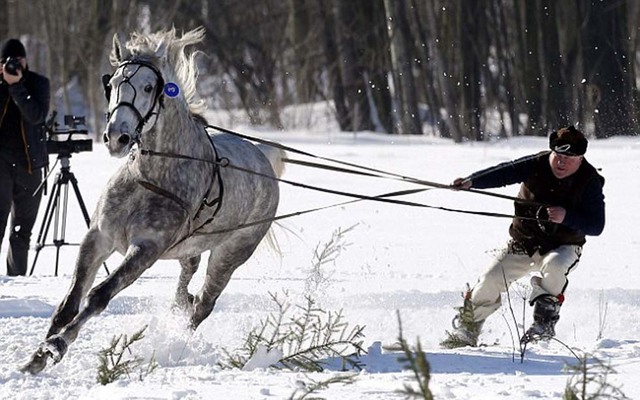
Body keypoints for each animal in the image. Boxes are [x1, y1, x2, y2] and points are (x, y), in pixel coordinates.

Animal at [23, 28, 282, 376]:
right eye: (112, 84)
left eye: (148, 87)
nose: (116, 138)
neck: (151, 176)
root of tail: (262, 157)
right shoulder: (99, 237)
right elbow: (70, 301)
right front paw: (37, 355)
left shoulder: (146, 248)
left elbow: (98, 296)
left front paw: (57, 345)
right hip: (189, 247)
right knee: (189, 271)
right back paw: (181, 302)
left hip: (231, 253)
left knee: (205, 303)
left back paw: (179, 339)